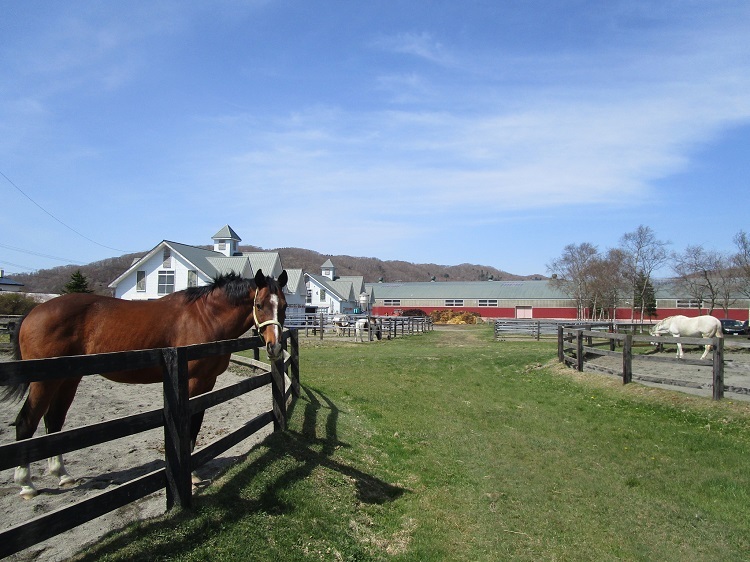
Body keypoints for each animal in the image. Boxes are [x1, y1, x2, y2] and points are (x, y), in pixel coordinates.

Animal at [0, 270, 288, 496]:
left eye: (284, 306)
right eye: (259, 304)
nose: (274, 347)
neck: (205, 316)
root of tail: (32, 312)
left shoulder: (207, 383)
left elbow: (195, 426)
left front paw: (194, 473)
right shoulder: (193, 383)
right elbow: (188, 427)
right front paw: (190, 477)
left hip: (67, 379)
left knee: (54, 421)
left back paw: (62, 474)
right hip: (44, 381)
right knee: (27, 423)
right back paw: (26, 485)